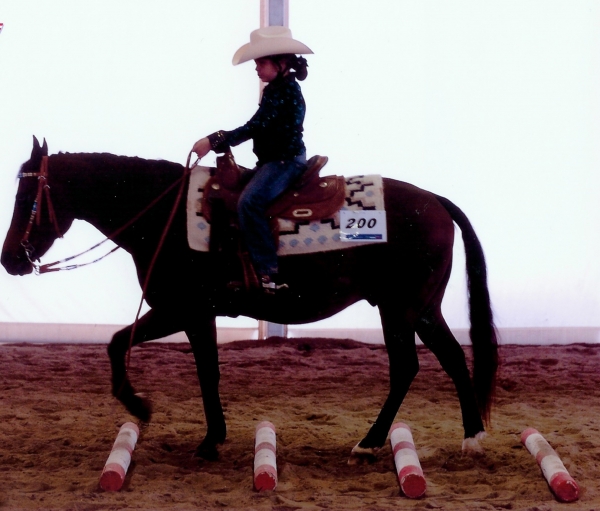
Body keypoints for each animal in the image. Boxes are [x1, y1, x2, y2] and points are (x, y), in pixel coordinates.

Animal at [1, 138, 496, 462]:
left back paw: (370, 443)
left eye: (27, 197)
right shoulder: (188, 312)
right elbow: (143, 350)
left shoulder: (184, 310)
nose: (10, 260)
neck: (163, 215)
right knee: (453, 358)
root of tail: (436, 201)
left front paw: (171, 421)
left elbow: (183, 365)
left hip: (399, 309)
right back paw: (472, 438)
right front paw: (180, 423)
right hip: (423, 310)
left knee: (406, 368)